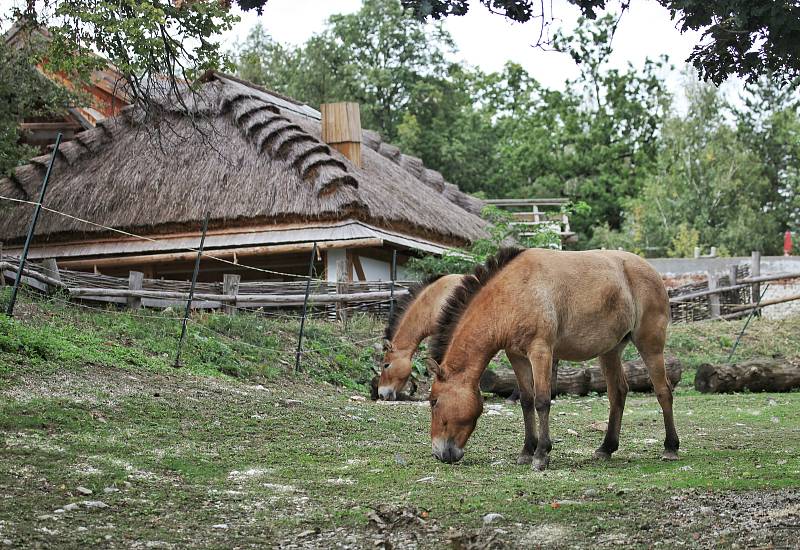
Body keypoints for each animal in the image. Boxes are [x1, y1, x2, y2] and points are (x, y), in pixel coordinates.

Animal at [428, 248, 680, 472]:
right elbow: (526, 401)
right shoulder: (516, 356)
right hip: (610, 351)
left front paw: (541, 455)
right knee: (617, 393)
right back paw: (606, 448)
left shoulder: (541, 352)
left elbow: (542, 401)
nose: (439, 453)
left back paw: (671, 447)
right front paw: (527, 451)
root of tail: (653, 272)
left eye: (433, 401)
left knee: (663, 391)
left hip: (650, 345)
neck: (512, 294)